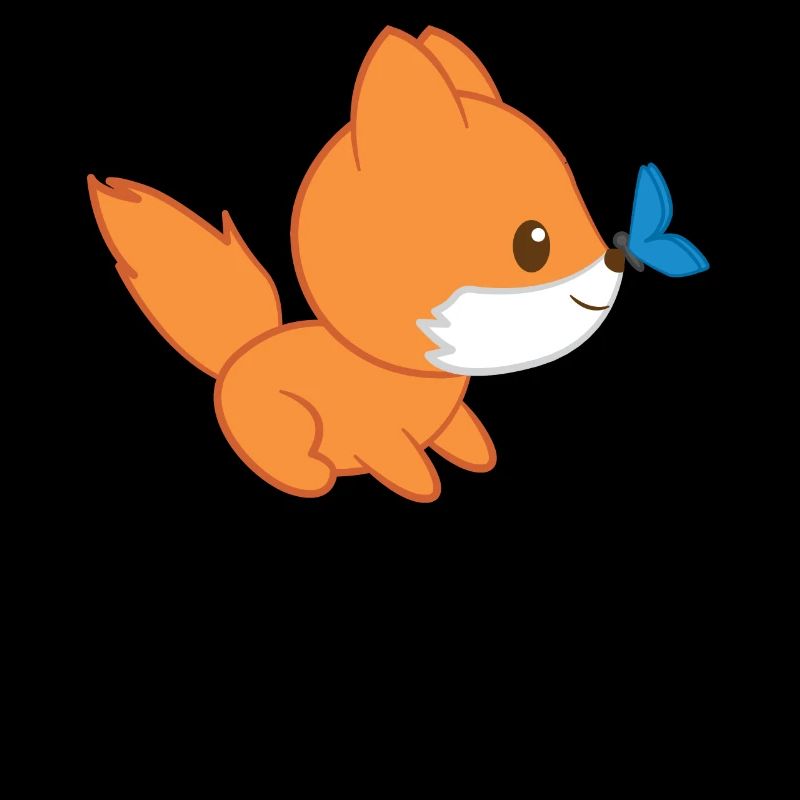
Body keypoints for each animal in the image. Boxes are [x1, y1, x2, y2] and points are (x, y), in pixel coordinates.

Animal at [88, 26, 639, 502]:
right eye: (533, 242)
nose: (617, 256)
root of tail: (236, 357)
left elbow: (454, 433)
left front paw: (475, 451)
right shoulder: (377, 436)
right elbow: (400, 460)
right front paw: (422, 484)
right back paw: (308, 476)